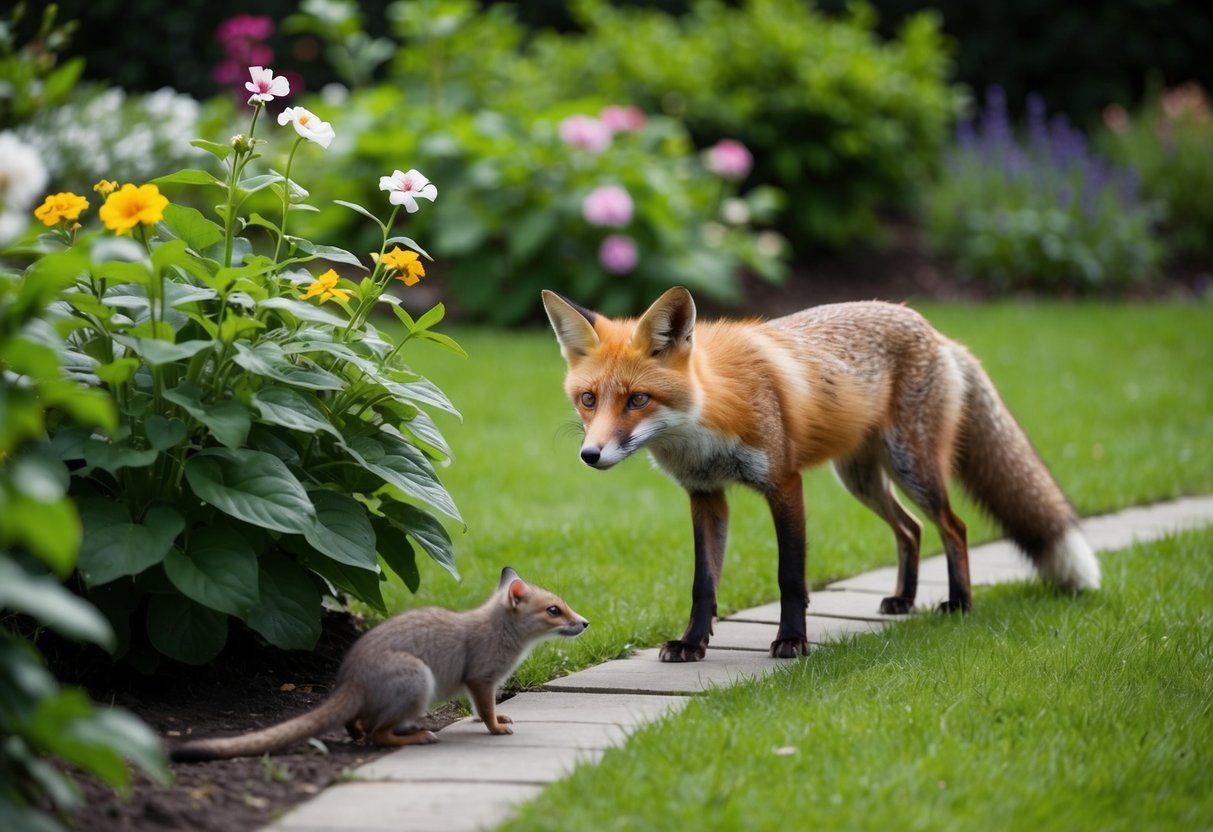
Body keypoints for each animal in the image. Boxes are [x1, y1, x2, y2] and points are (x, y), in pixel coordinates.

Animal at [170, 567, 589, 761]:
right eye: (554, 610)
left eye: (566, 604)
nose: (585, 622)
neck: (498, 631)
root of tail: (350, 680)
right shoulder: (481, 679)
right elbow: (484, 710)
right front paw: (497, 727)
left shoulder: (478, 685)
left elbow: (477, 708)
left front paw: (497, 718)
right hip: (419, 679)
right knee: (375, 733)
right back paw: (418, 735)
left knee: (359, 725)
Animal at [542, 286, 1100, 662]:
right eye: (589, 399)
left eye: (638, 399)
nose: (591, 455)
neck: (703, 423)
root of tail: (933, 329)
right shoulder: (706, 495)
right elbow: (704, 582)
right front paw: (692, 642)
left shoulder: (784, 484)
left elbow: (791, 575)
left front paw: (792, 640)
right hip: (861, 479)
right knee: (911, 529)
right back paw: (903, 599)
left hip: (912, 467)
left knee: (953, 526)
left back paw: (959, 602)